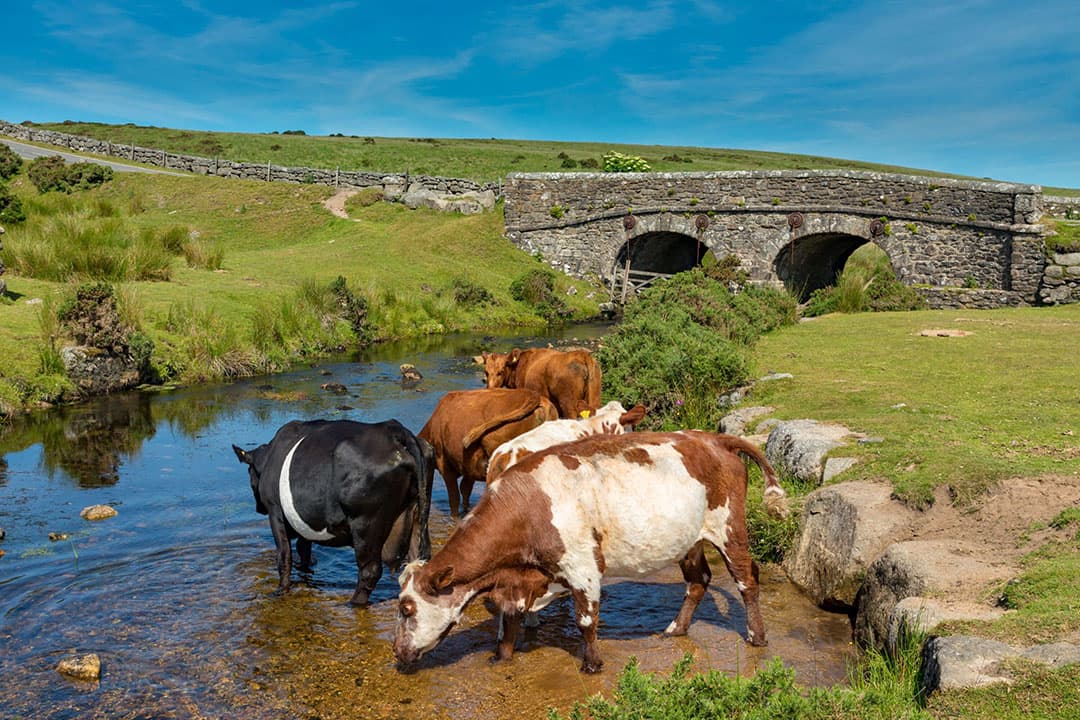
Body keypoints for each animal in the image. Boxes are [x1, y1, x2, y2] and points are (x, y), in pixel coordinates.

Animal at [232, 418, 434, 606]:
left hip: (366, 524)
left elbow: (284, 556)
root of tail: (394, 430)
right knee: (419, 562)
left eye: (249, 472)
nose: (258, 509)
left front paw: (281, 590)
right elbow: (303, 549)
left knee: (370, 571)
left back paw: (353, 603)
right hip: (418, 513)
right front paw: (304, 571)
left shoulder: (275, 512)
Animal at [392, 430, 787, 673]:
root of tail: (712, 437)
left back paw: (756, 636)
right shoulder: (518, 580)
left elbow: (586, 620)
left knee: (746, 580)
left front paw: (592, 664)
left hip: (729, 529)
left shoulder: (582, 567)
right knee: (699, 581)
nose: (396, 650)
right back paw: (676, 628)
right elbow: (509, 620)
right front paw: (501, 657)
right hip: (688, 540)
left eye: (407, 608)